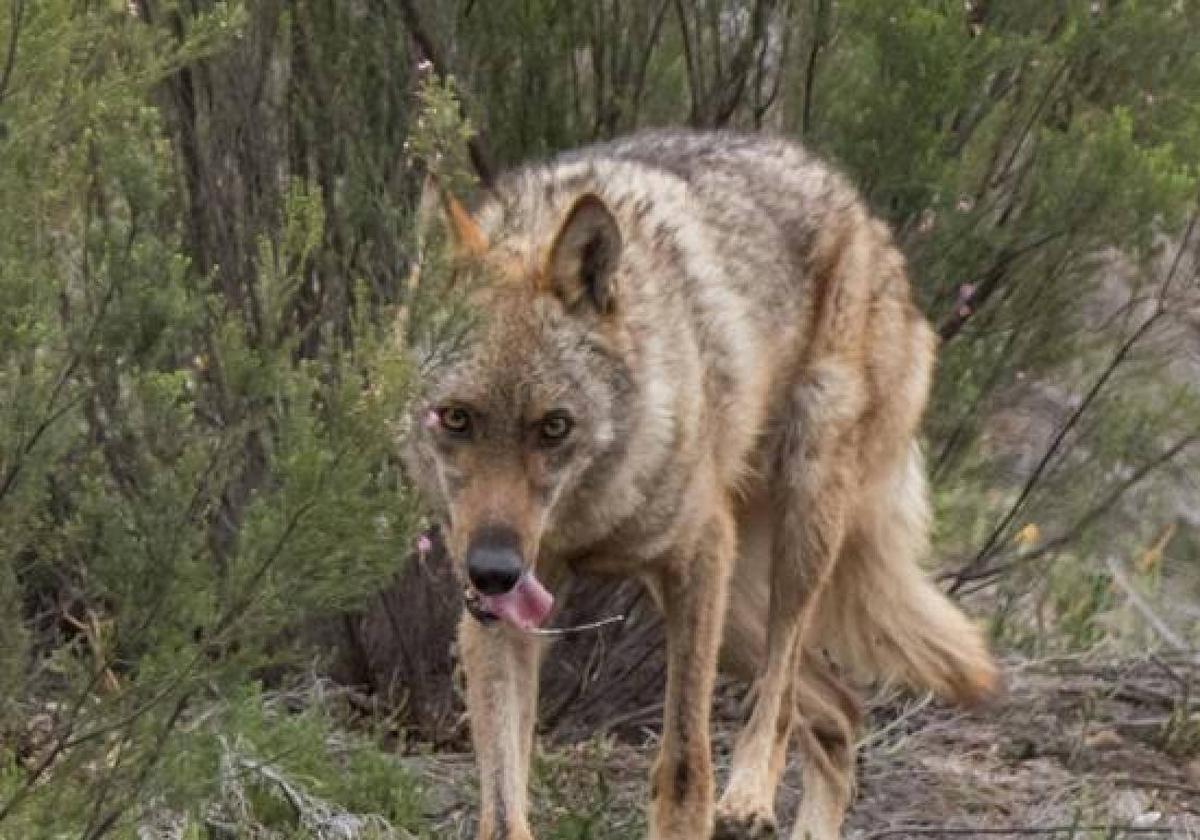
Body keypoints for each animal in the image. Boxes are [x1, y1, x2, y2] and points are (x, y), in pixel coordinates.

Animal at [408, 131, 998, 840]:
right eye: (455, 418)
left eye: (553, 427)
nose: (493, 570)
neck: (586, 518)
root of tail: (864, 216)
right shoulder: (503, 615)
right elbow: (501, 806)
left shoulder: (696, 559)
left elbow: (685, 767)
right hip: (736, 608)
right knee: (840, 711)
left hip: (796, 534)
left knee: (781, 697)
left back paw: (749, 796)